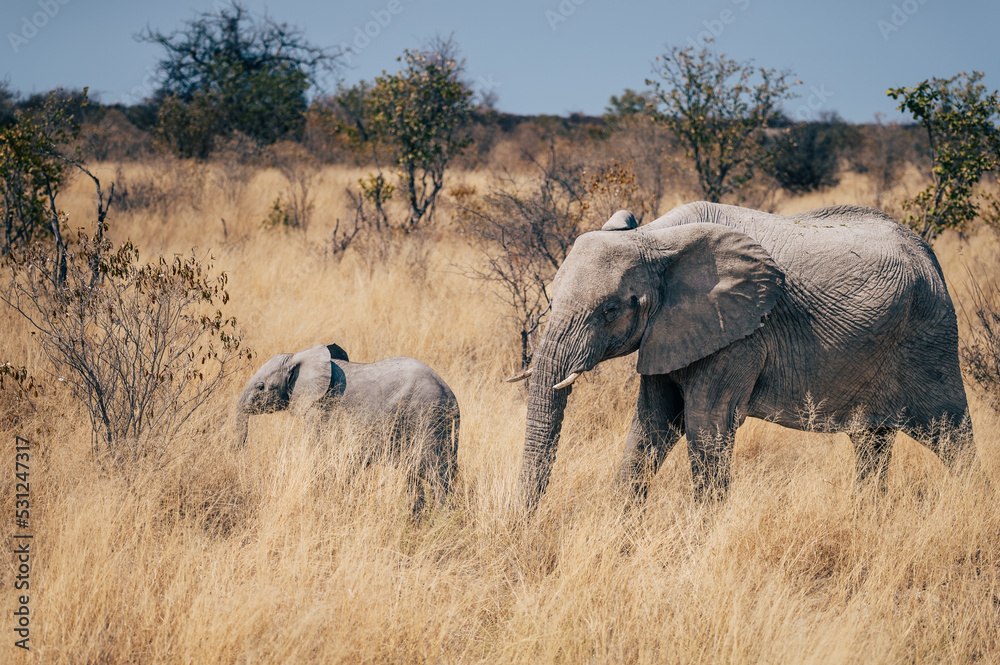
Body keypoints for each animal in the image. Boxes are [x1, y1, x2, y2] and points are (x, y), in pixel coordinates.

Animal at [238, 342, 460, 512]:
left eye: (260, 387)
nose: (239, 449)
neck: (300, 355)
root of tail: (451, 396)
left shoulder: (320, 407)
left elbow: (318, 451)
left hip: (428, 419)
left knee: (437, 476)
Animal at [516, 201, 976, 504]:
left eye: (611, 310)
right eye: (552, 298)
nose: (525, 526)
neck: (656, 238)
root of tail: (927, 252)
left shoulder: (740, 335)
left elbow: (706, 427)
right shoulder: (670, 332)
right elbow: (651, 424)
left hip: (930, 338)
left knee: (952, 435)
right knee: (871, 443)